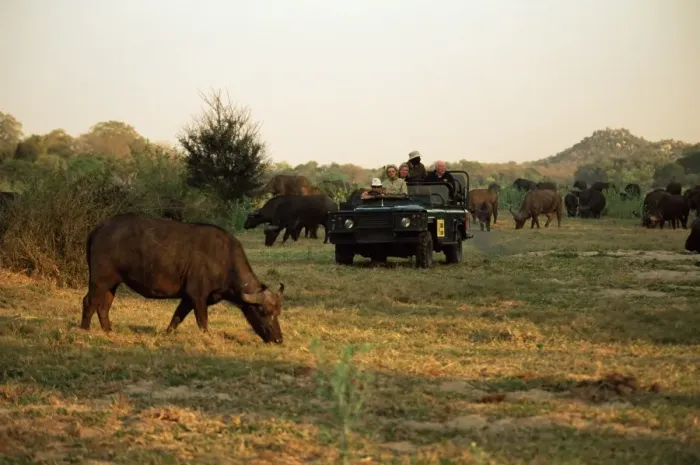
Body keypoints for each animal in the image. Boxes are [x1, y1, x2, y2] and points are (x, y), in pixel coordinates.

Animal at [81, 214, 285, 343]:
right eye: (263, 311)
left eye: (278, 312)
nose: (278, 339)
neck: (223, 259)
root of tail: (100, 228)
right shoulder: (198, 296)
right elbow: (202, 321)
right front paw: (208, 337)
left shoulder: (187, 298)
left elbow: (176, 318)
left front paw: (167, 334)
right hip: (100, 280)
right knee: (90, 301)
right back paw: (84, 330)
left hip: (112, 283)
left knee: (103, 306)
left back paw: (108, 331)